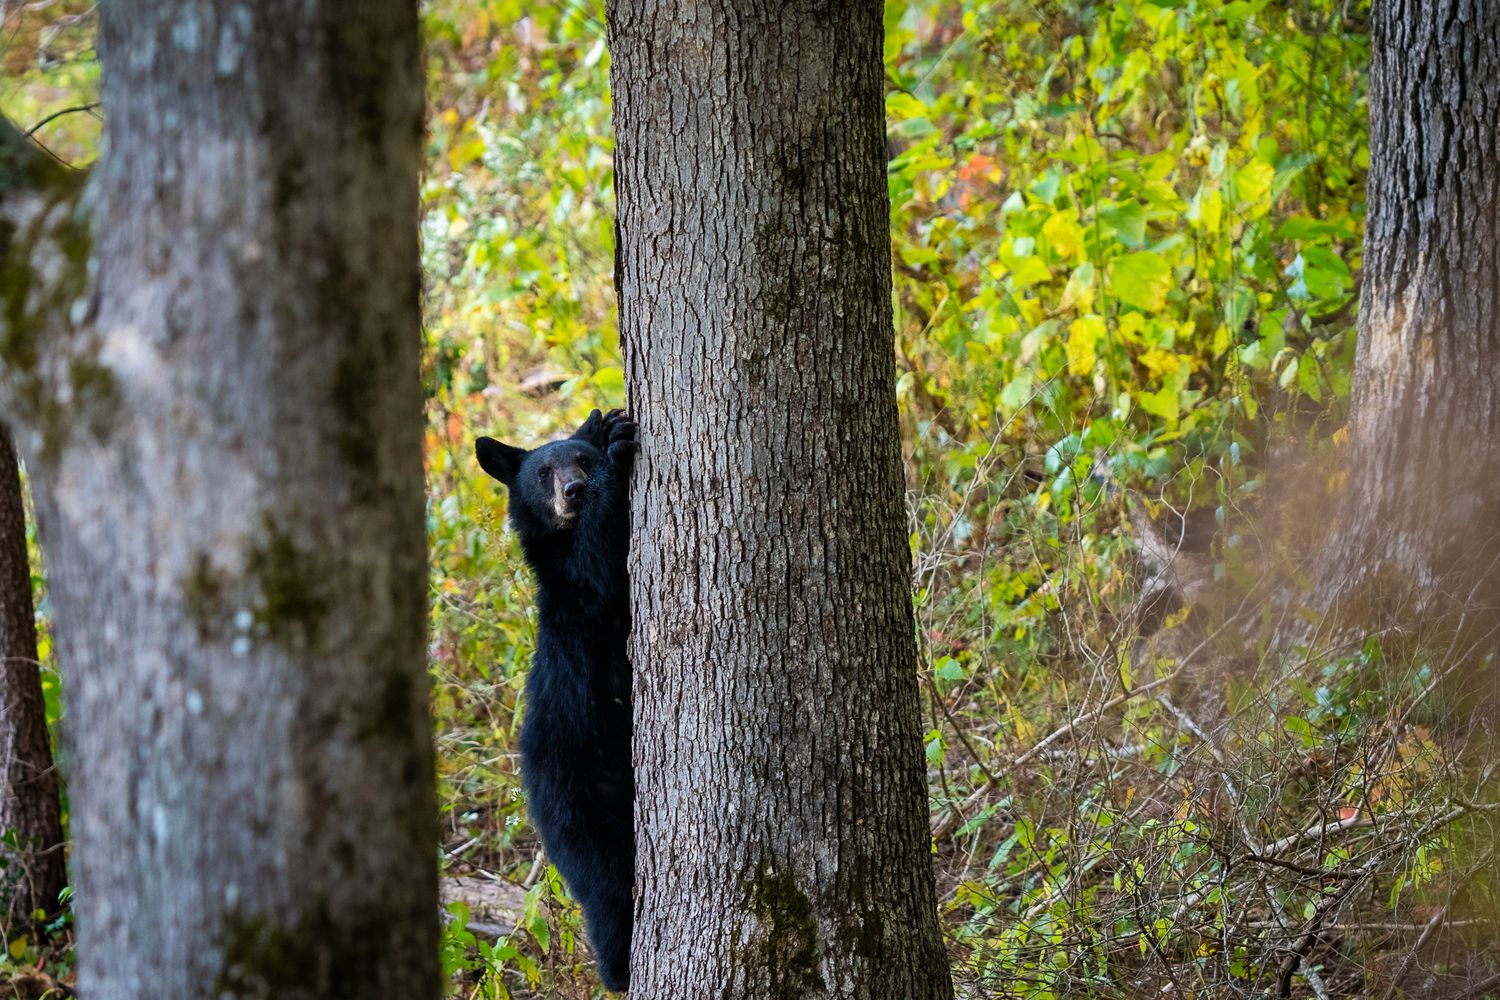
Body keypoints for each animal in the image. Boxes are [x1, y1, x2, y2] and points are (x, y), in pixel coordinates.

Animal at [475, 408, 637, 993]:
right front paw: (618, 446)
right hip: (578, 809)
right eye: (543, 473)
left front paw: (608, 427)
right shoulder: (579, 589)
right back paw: (618, 969)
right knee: (607, 889)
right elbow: (599, 564)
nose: (574, 489)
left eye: (579, 459)